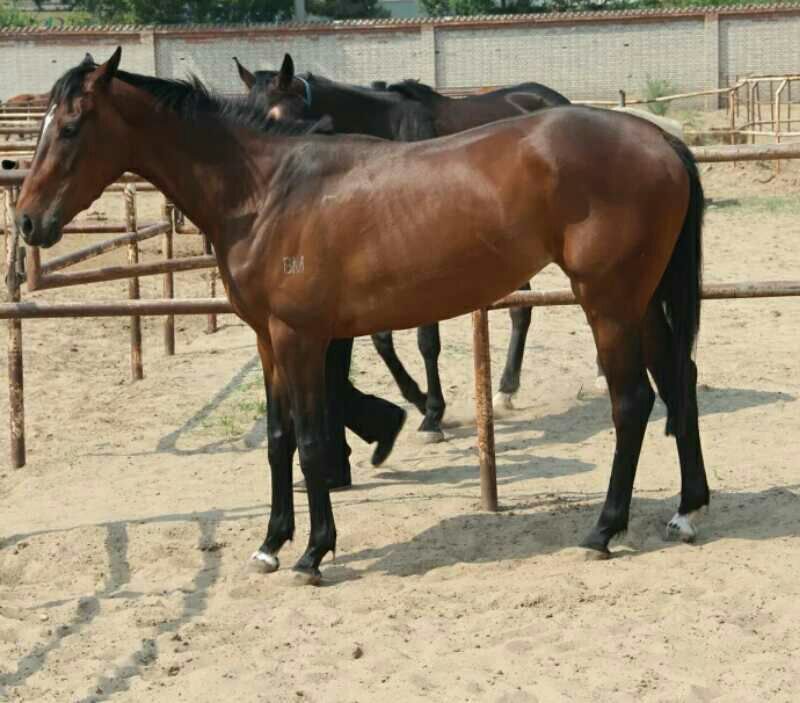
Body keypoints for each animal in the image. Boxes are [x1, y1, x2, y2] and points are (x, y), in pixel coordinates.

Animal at [238, 54, 572, 441]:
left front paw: (433, 415)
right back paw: (505, 390)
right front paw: (420, 400)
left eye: (278, 117)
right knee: (522, 308)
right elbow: (382, 339)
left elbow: (427, 341)